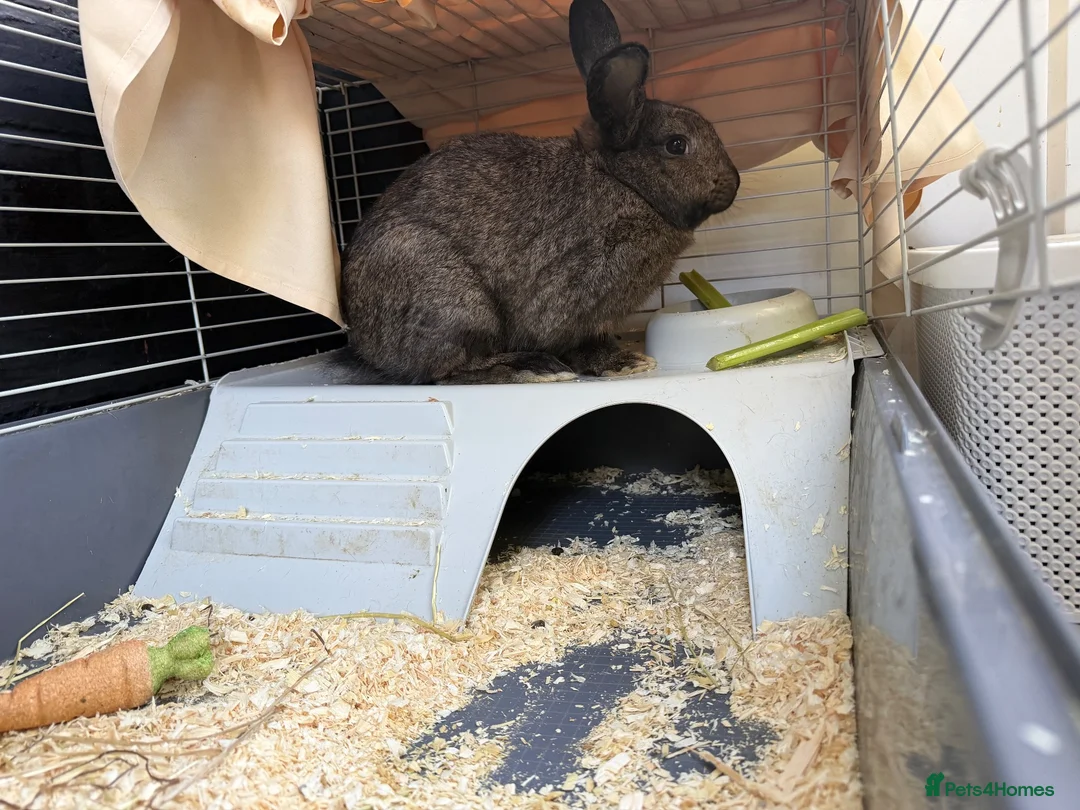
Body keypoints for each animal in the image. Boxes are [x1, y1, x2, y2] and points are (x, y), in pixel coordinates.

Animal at [339, 0, 740, 385]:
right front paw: (625, 363)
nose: (734, 183)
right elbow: (583, 339)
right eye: (677, 144)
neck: (623, 182)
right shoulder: (574, 296)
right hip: (454, 302)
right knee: (446, 369)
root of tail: (364, 345)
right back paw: (533, 367)